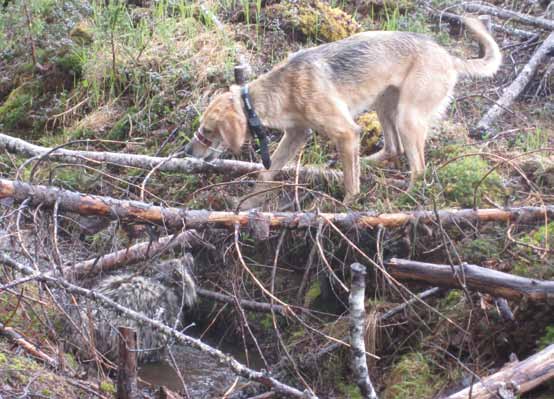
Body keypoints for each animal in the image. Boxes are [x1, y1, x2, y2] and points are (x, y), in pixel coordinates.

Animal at [184, 18, 500, 206]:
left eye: (208, 130)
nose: (187, 152)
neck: (284, 89)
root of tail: (449, 56)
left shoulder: (346, 133)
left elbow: (351, 186)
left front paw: (346, 208)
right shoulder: (295, 136)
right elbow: (266, 174)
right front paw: (247, 206)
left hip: (407, 117)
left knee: (418, 168)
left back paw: (404, 201)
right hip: (385, 105)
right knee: (393, 149)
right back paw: (367, 164)